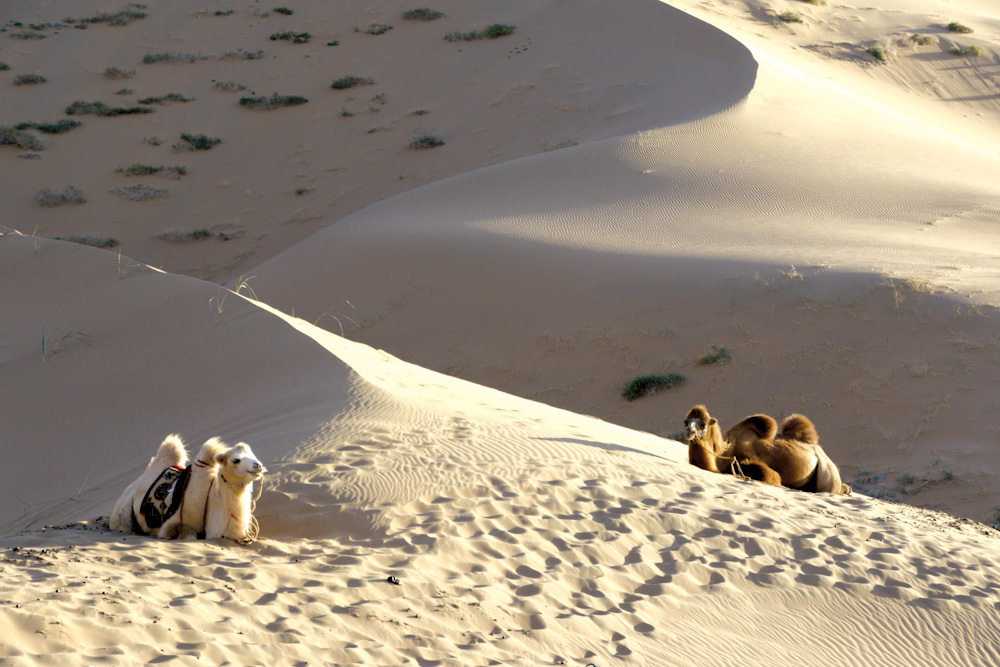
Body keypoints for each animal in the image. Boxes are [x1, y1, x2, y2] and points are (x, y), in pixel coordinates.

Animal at [109, 436, 266, 544]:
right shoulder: (172, 525)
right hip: (122, 517)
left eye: (253, 454)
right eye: (236, 460)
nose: (258, 466)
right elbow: (190, 536)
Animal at [680, 404, 852, 494]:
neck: (723, 453)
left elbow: (768, 474)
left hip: (827, 471)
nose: (689, 431)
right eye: (686, 422)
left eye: (702, 424)